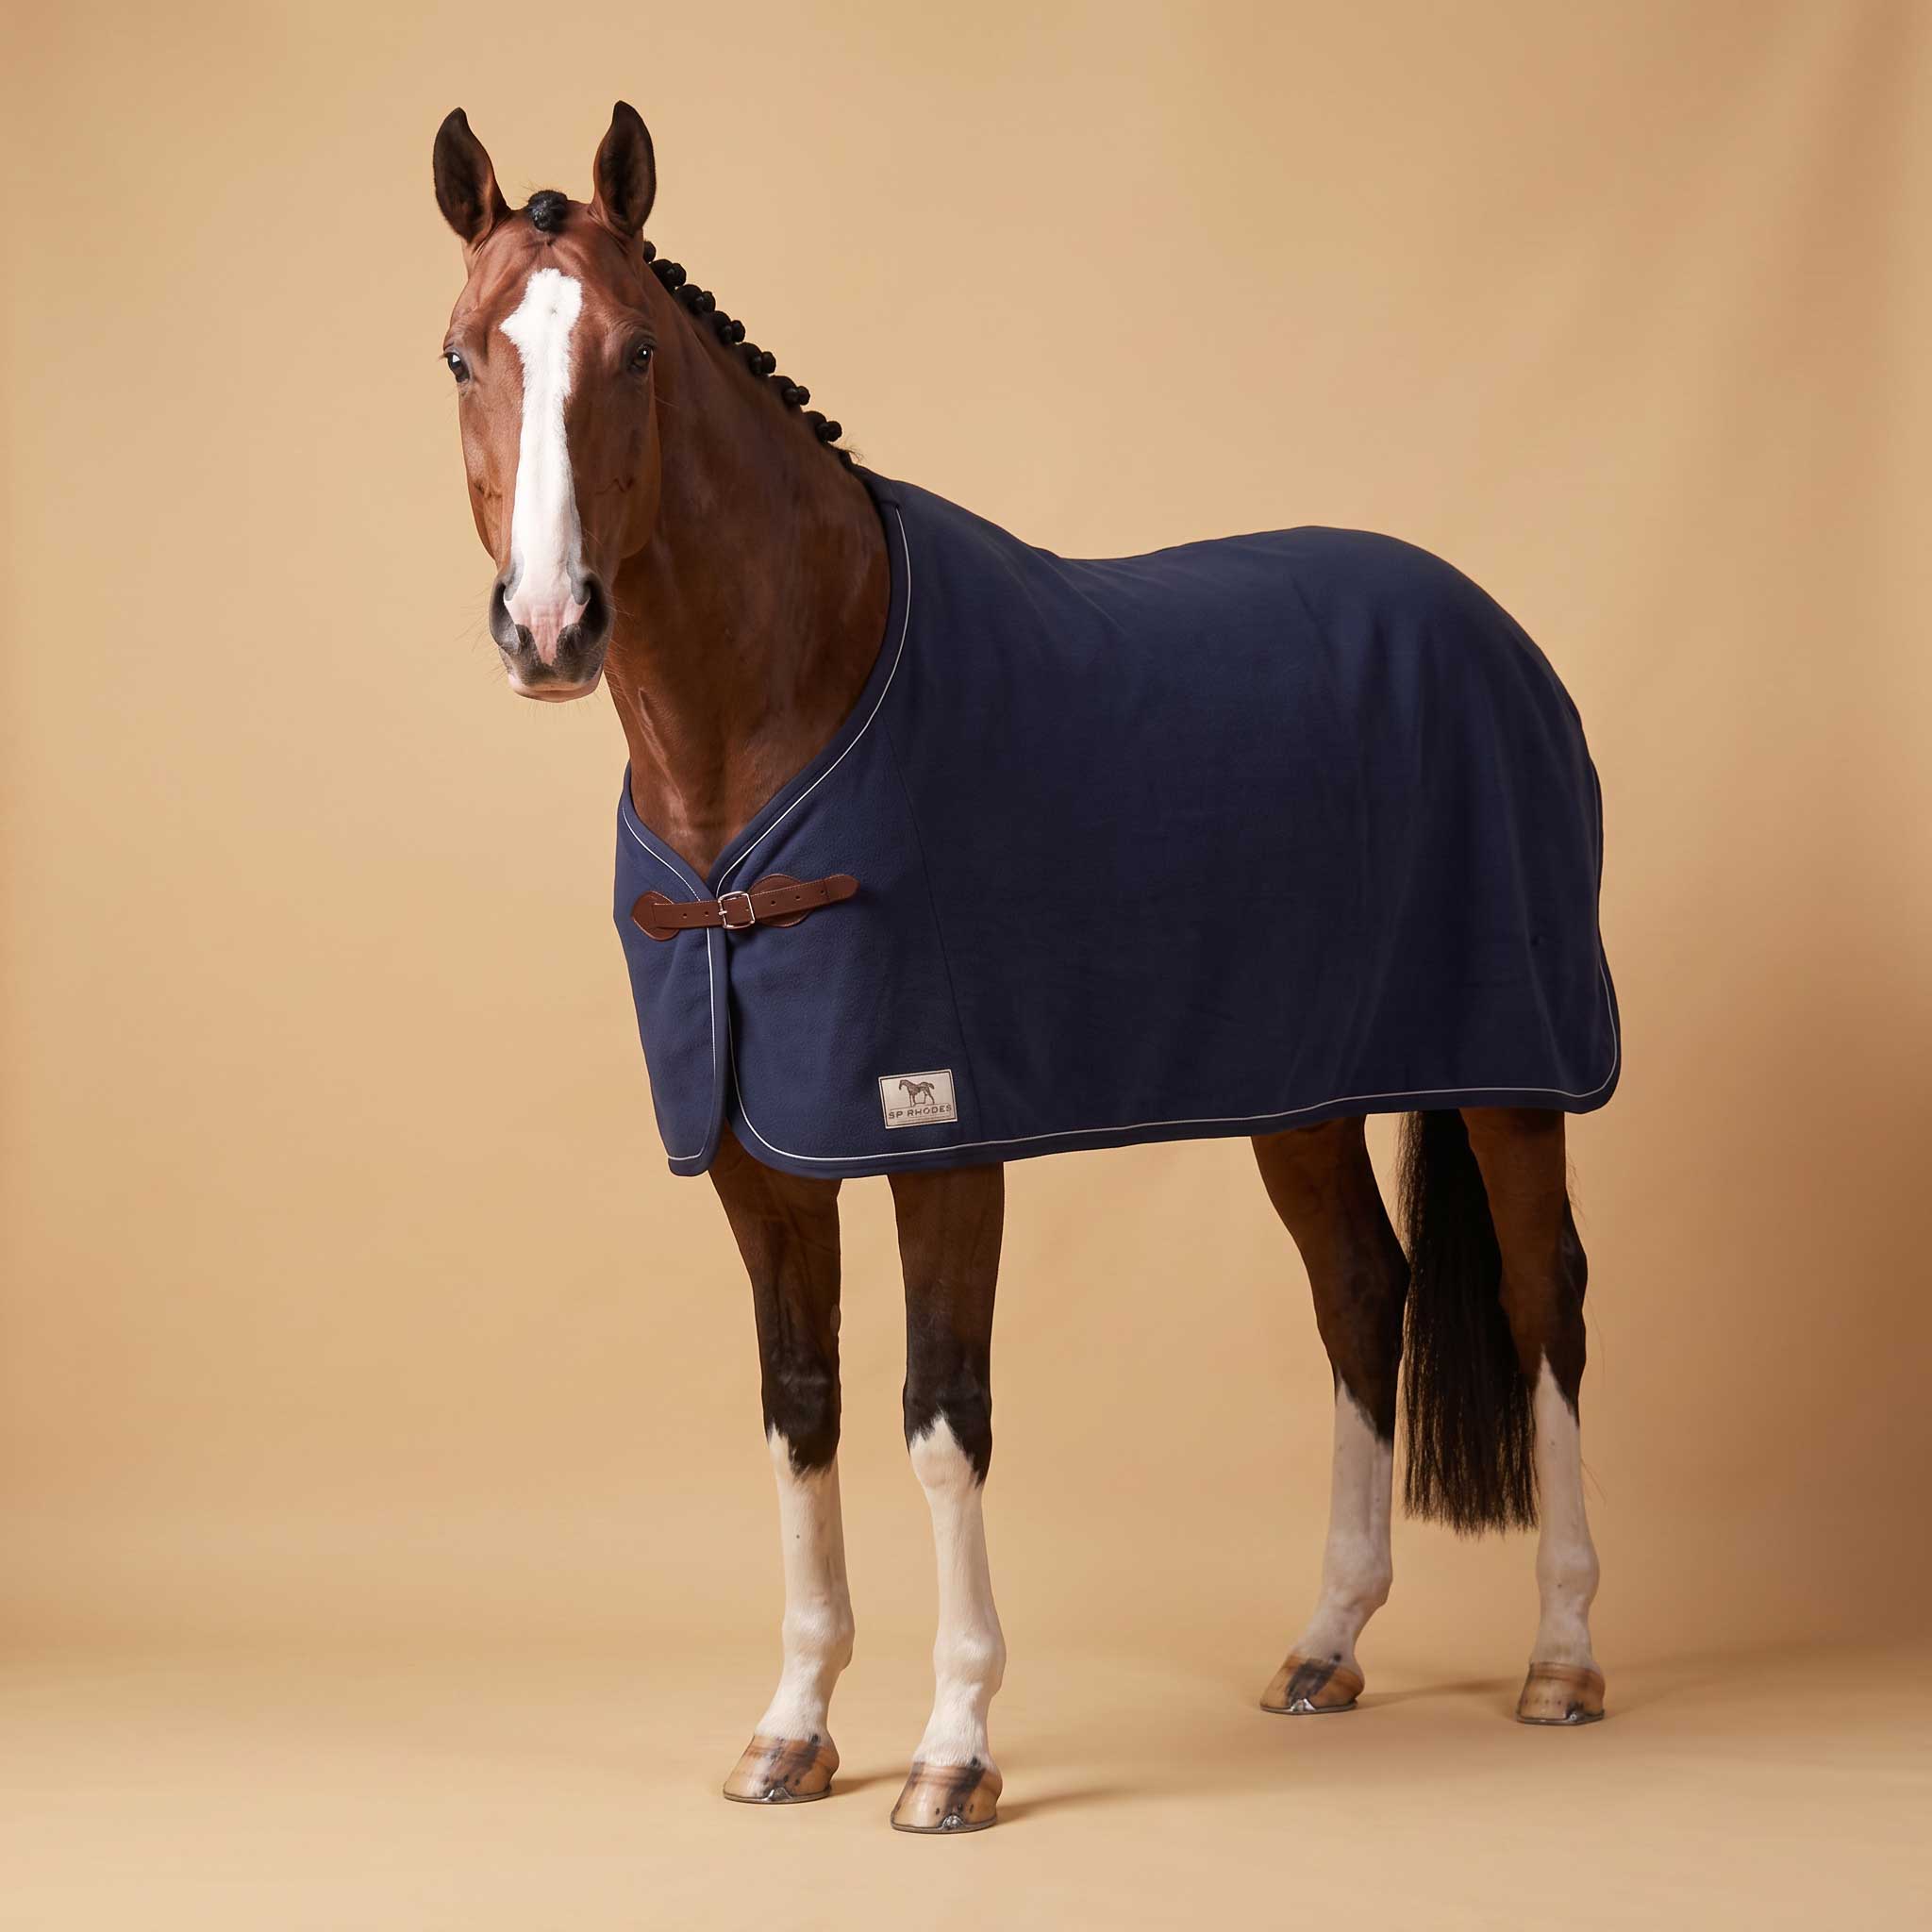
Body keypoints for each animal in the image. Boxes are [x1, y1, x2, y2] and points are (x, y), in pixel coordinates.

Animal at [431, 101, 1614, 1835]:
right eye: (463, 355)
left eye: (635, 351)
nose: (548, 625)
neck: (782, 713)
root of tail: (1492, 629)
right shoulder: (755, 1157)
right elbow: (800, 1413)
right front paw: (791, 1730)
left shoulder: (937, 1131)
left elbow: (940, 1421)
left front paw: (952, 1747)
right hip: (1301, 1092)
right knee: (1359, 1292)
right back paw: (1325, 1644)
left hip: (1518, 1071)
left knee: (1543, 1304)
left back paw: (1562, 1656)